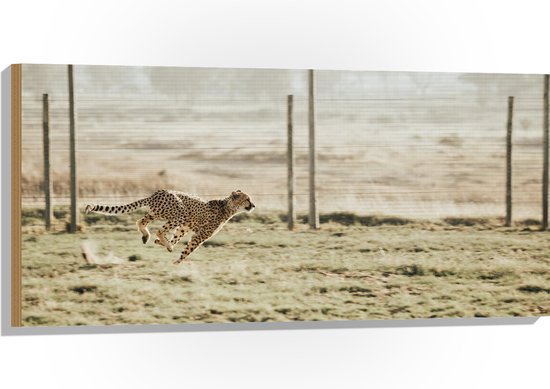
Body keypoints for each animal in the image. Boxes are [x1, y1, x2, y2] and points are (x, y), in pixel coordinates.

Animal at [84, 189, 256, 264]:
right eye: (247, 199)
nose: (253, 205)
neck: (227, 207)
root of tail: (157, 193)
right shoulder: (199, 235)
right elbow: (188, 250)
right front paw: (176, 262)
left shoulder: (184, 227)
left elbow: (176, 238)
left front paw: (165, 245)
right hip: (179, 213)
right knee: (159, 230)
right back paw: (160, 240)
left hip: (158, 213)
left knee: (141, 221)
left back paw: (147, 237)